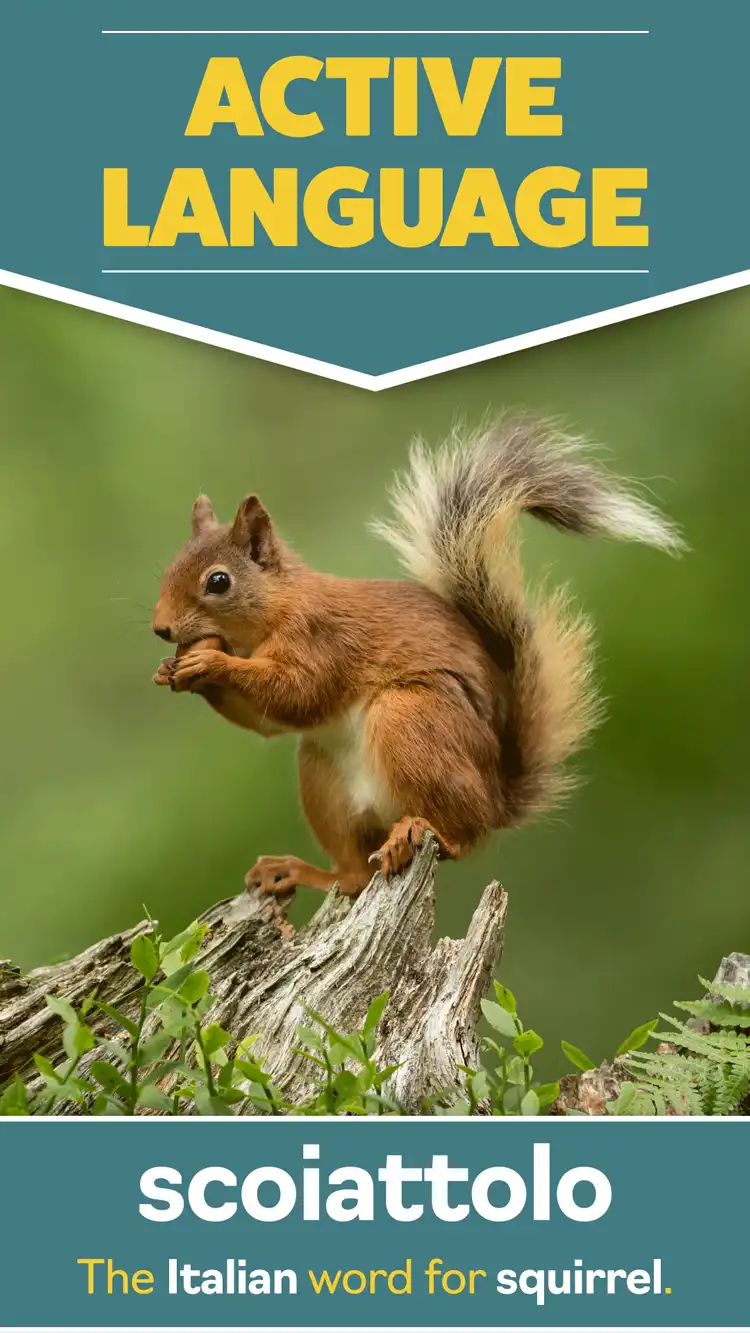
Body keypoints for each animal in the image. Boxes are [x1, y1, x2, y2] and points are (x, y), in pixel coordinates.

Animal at [152, 418, 683, 902]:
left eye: (218, 582)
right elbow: (266, 721)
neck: (275, 610)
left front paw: (211, 664)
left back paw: (427, 834)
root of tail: (497, 799)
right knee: (353, 875)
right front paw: (177, 671)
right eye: (167, 568)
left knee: (462, 835)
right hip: (325, 779)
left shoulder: (323, 640)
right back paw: (299, 870)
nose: (161, 628)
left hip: (412, 718)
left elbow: (299, 693)